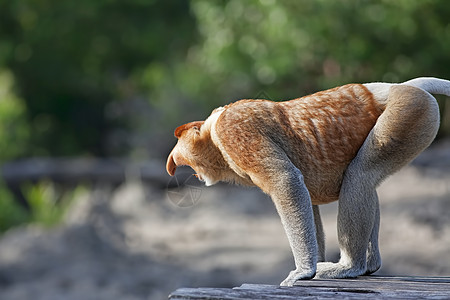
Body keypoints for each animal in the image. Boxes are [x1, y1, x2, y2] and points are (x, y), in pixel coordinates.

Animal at [165, 77, 450, 286]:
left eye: (180, 137)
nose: (173, 160)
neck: (213, 131)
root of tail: (400, 86)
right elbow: (307, 199)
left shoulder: (236, 130)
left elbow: (286, 181)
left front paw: (303, 271)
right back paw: (368, 265)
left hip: (406, 115)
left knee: (360, 176)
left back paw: (349, 267)